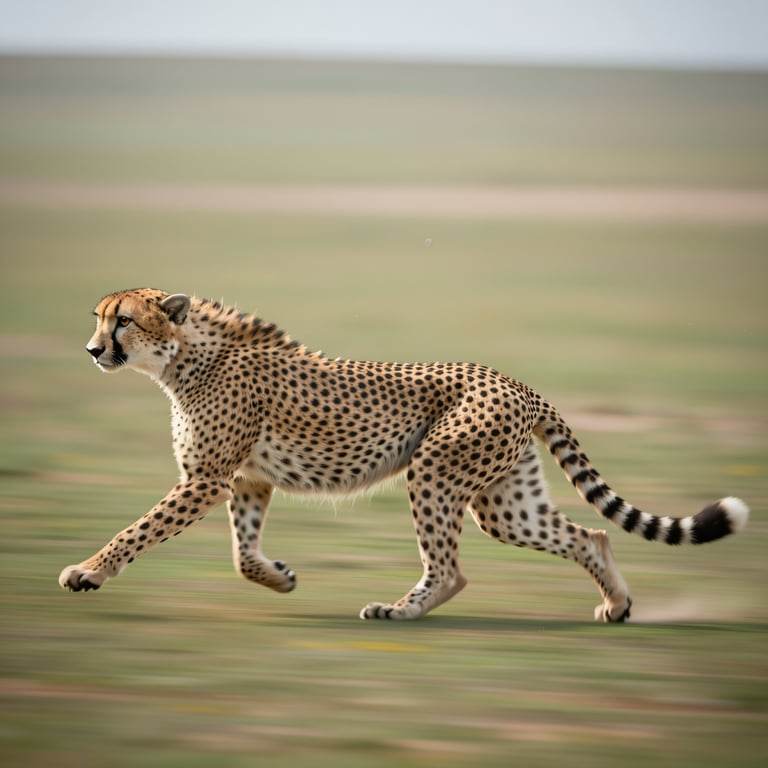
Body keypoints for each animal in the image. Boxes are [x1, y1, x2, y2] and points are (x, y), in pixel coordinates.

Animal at [59, 288, 749, 622]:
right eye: (98, 318)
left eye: (122, 321)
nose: (92, 350)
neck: (184, 358)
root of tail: (516, 381)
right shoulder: (247, 480)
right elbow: (243, 554)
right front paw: (280, 578)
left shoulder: (205, 478)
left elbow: (138, 531)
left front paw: (88, 571)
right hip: (503, 503)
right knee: (590, 535)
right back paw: (618, 604)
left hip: (436, 472)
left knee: (451, 569)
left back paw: (397, 610)